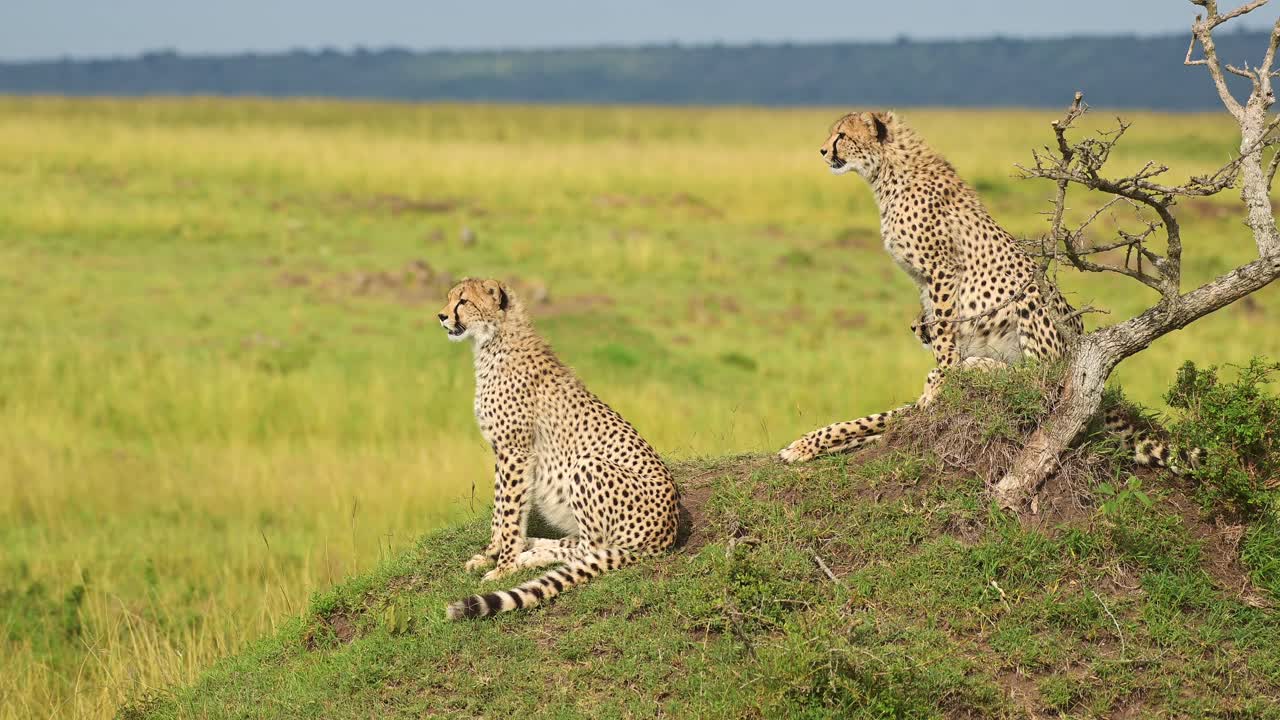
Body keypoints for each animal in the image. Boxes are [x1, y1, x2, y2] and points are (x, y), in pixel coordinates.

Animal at [437, 275, 680, 617]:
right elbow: (500, 509)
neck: (494, 340)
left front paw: (504, 566)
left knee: (591, 549)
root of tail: (668, 534)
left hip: (588, 464)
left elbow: (510, 513)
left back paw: (530, 556)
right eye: (450, 298)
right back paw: (534, 545)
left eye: (463, 301)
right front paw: (490, 554)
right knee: (579, 543)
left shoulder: (516, 451)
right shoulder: (503, 451)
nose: (441, 316)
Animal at [773, 110, 1192, 471]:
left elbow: (944, 332)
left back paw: (982, 366)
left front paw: (945, 373)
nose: (823, 151)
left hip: (1030, 298)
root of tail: (1082, 339)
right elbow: (873, 421)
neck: (887, 171)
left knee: (1039, 377)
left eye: (842, 136)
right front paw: (805, 445)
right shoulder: (924, 278)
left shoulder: (942, 268)